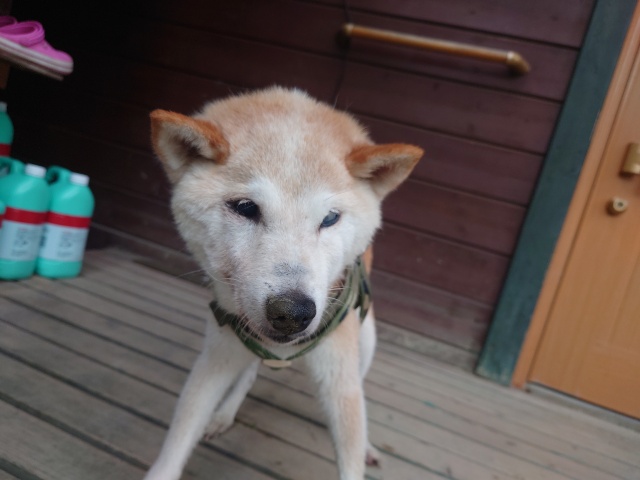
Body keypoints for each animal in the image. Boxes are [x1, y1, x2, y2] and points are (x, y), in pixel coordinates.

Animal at [144, 87, 423, 480]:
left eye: (330, 218)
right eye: (245, 208)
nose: (292, 313)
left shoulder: (340, 380)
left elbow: (352, 442)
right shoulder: (218, 354)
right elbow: (175, 447)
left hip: (366, 338)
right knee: (247, 374)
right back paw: (224, 414)